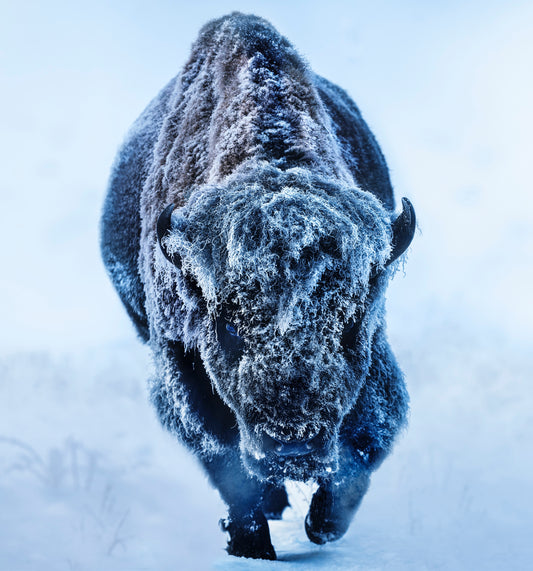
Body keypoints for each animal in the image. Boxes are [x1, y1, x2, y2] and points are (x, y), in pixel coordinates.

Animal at [100, 13, 416, 564]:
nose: (292, 445)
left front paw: (321, 525)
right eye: (228, 327)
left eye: (350, 325)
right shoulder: (184, 375)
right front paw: (252, 545)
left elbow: (360, 452)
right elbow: (231, 471)